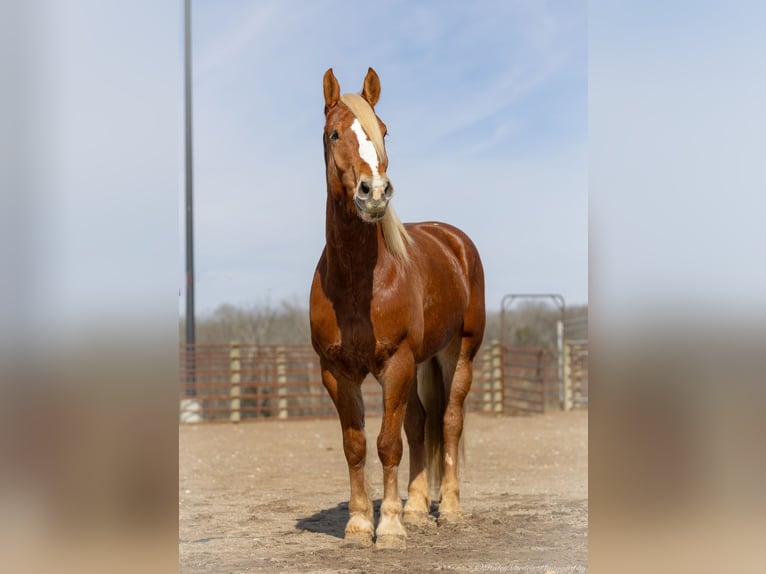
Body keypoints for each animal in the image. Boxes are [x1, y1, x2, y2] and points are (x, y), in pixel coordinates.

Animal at [310, 70, 486, 552]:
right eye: (334, 134)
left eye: (383, 132)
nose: (374, 192)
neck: (357, 282)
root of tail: (454, 240)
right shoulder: (336, 371)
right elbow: (356, 445)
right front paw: (358, 524)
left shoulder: (397, 362)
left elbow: (388, 444)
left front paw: (388, 526)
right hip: (423, 362)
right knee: (419, 422)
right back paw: (417, 509)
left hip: (457, 354)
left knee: (448, 422)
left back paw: (448, 509)